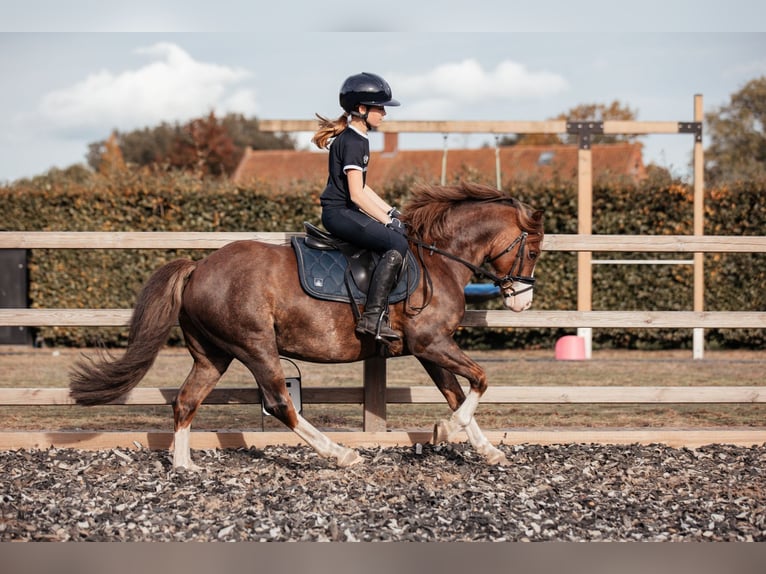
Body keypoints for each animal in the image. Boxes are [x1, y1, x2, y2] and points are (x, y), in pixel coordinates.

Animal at [69, 182, 544, 470]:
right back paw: (341, 454)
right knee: (282, 404)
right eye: (535, 250)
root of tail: (199, 267)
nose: (522, 301)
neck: (437, 259)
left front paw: (488, 450)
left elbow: (457, 393)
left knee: (186, 401)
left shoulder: (430, 348)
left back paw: (184, 465)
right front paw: (446, 430)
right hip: (256, 347)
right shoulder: (431, 343)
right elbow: (479, 381)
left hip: (213, 355)